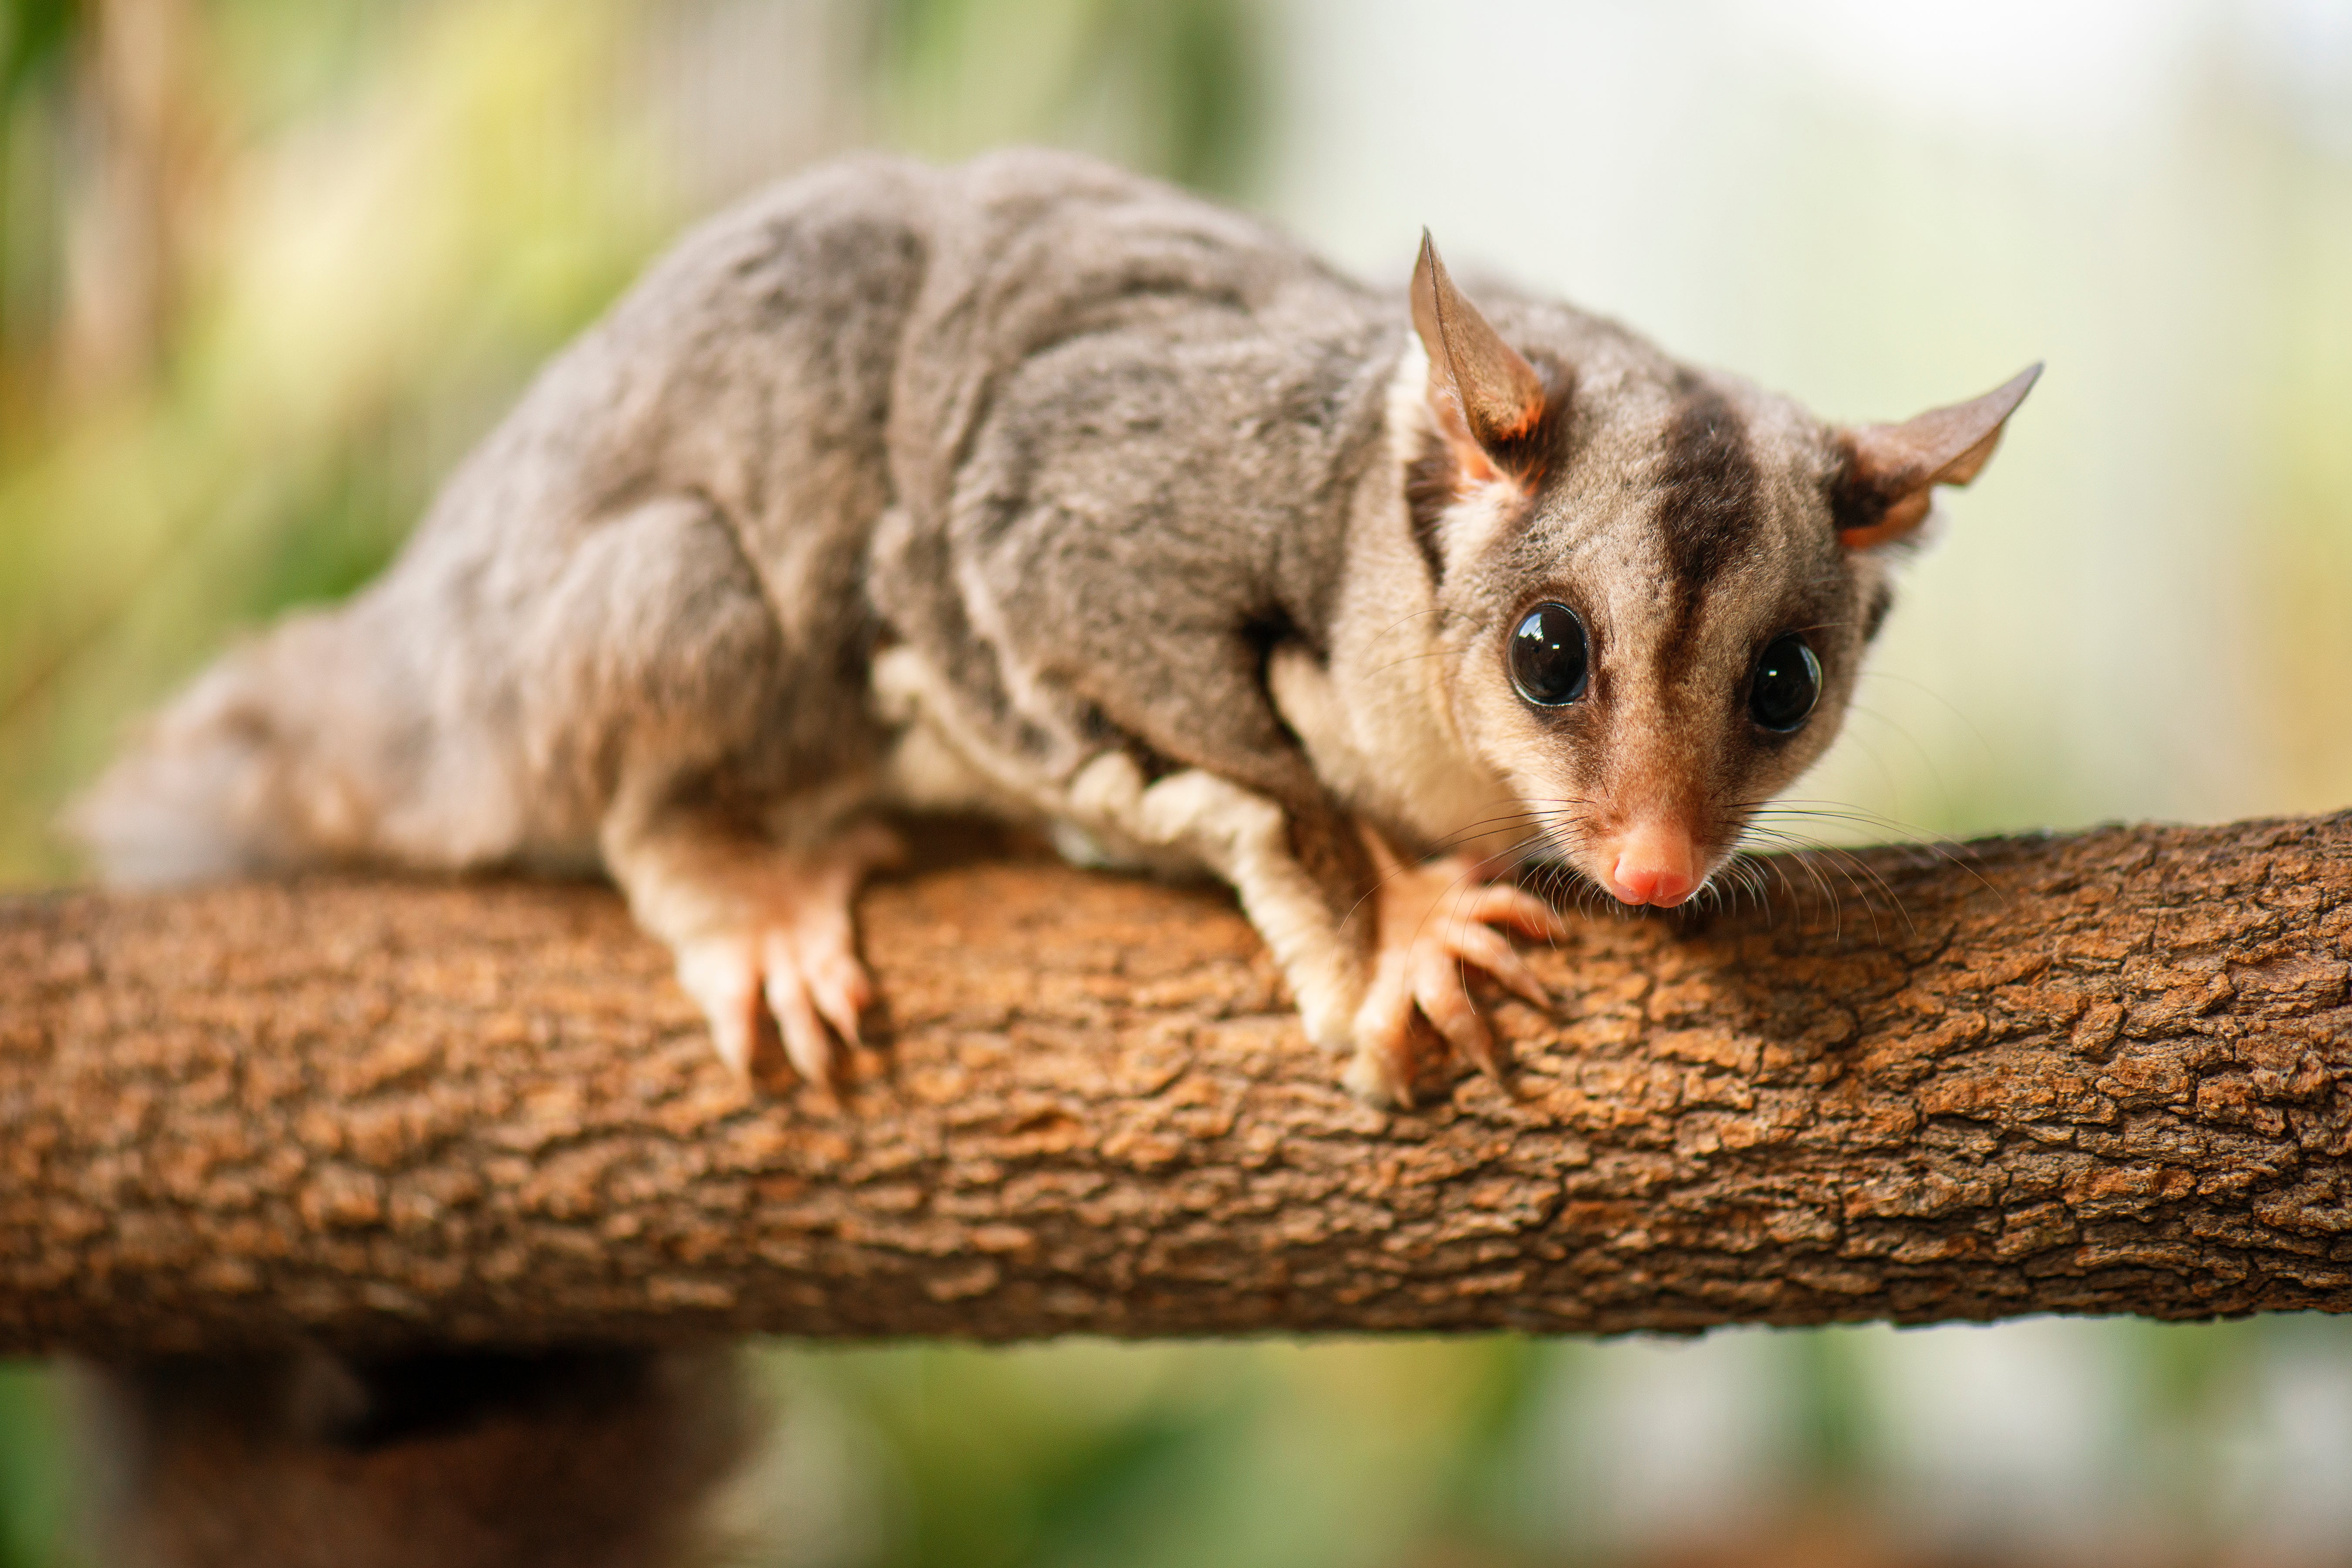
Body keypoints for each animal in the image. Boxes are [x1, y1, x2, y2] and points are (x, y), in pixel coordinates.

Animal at [71, 144, 2037, 1107]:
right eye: (1549, 655)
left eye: (1786, 685)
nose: (1652, 867)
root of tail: (405, 654)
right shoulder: (1110, 500)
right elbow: (1184, 695)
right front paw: (1390, 924)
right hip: (598, 641)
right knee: (679, 668)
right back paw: (743, 879)